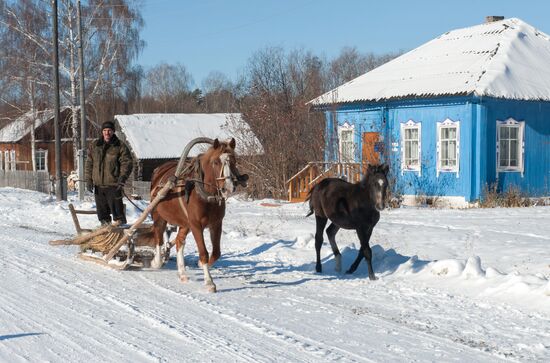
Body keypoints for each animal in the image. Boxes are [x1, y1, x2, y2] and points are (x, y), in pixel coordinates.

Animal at [149, 138, 248, 294]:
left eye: (234, 161)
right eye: (216, 162)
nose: (228, 187)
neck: (205, 195)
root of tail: (159, 170)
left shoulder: (216, 224)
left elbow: (216, 252)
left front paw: (200, 264)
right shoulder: (196, 225)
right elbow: (203, 252)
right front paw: (209, 282)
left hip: (185, 223)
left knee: (179, 241)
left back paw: (182, 273)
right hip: (159, 215)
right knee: (159, 237)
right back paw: (157, 261)